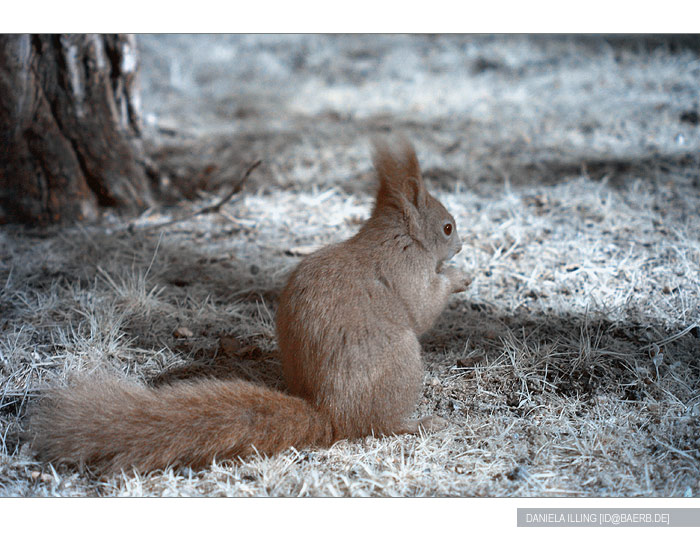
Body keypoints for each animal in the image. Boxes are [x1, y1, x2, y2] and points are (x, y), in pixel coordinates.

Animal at [30, 139, 474, 474]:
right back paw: (420, 423)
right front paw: (460, 278)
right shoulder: (407, 271)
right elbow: (423, 307)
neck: (399, 236)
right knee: (379, 427)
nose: (461, 245)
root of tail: (329, 413)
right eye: (447, 227)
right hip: (402, 364)